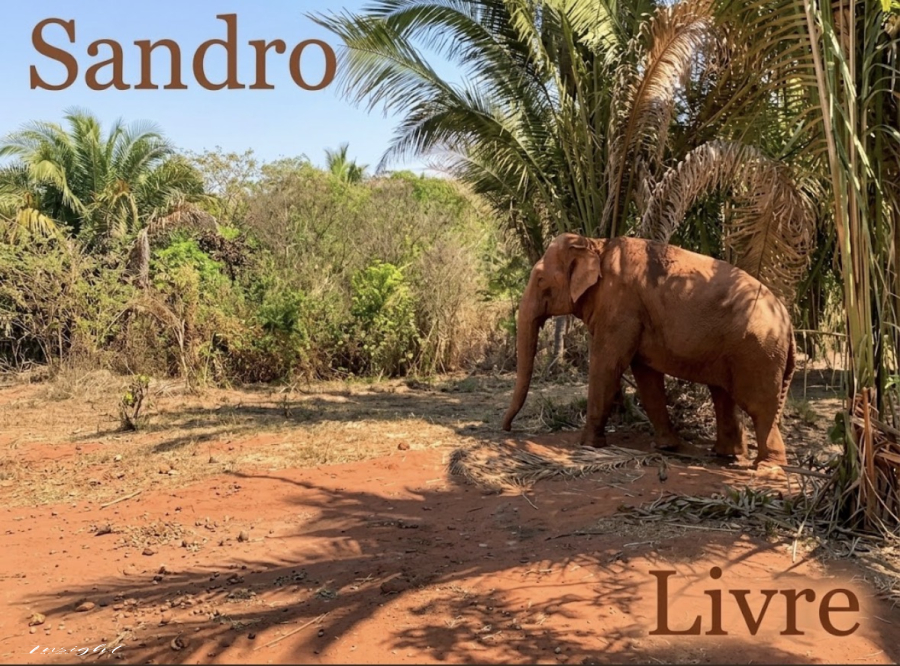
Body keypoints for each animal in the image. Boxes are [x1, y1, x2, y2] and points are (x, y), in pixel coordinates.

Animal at [501, 233, 796, 467]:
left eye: (540, 279)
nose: (507, 429)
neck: (595, 243)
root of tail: (788, 321)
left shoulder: (620, 306)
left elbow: (607, 365)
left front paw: (588, 444)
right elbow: (645, 375)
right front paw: (667, 446)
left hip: (757, 351)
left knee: (758, 405)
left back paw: (767, 466)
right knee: (724, 394)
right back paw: (726, 454)